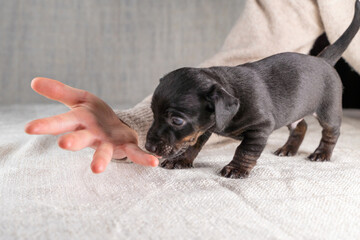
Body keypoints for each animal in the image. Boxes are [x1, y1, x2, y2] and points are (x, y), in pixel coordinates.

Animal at [145, 0, 360, 178]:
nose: (148, 146)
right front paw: (180, 160)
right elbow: (192, 145)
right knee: (301, 126)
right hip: (295, 111)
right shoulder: (203, 129)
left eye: (177, 120)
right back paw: (288, 149)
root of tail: (323, 59)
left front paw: (237, 169)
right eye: (153, 113)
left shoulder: (259, 129)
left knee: (331, 133)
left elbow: (245, 151)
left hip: (328, 111)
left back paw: (322, 153)